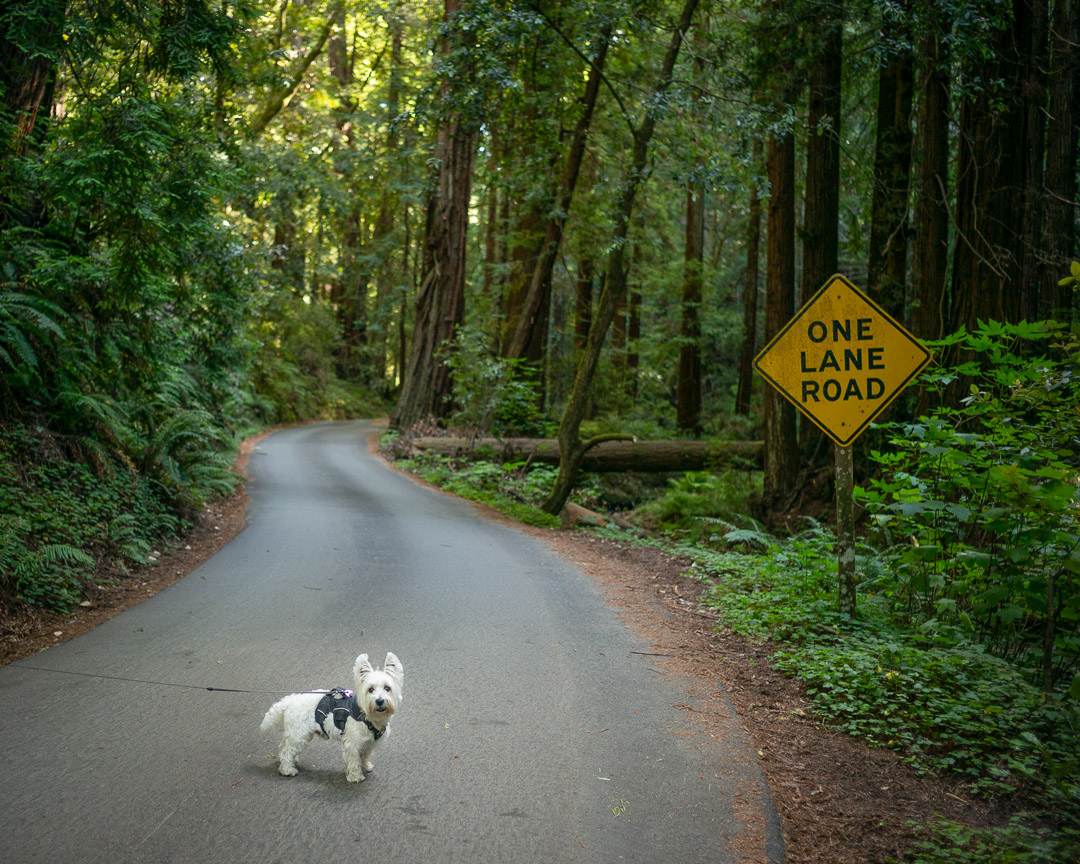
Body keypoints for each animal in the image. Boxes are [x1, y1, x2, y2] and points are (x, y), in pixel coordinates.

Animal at [259, 652, 403, 777]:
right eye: (370, 689)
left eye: (387, 688)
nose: (379, 701)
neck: (366, 716)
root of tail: (290, 700)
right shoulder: (352, 743)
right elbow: (353, 760)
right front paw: (355, 776)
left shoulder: (369, 744)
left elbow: (364, 756)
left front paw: (366, 767)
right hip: (298, 734)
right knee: (286, 751)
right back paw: (287, 769)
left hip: (300, 734)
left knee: (285, 747)